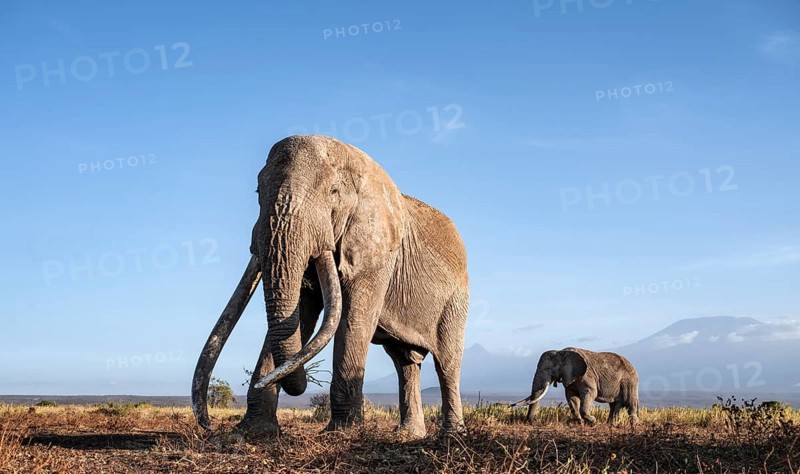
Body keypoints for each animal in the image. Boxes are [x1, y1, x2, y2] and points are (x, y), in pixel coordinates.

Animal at [192, 135, 470, 439]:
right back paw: (409, 435)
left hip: (456, 300)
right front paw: (254, 432)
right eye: (257, 192)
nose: (208, 425)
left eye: (333, 192)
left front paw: (342, 432)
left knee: (447, 363)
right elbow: (300, 315)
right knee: (405, 361)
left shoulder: (377, 252)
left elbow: (353, 318)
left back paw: (451, 435)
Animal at [511, 348, 639, 426]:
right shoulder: (570, 376)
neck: (561, 352)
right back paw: (610, 424)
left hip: (630, 381)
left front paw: (593, 421)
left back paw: (633, 424)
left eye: (548, 368)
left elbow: (590, 393)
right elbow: (571, 396)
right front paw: (579, 422)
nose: (530, 421)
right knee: (614, 404)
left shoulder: (586, 375)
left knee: (630, 402)